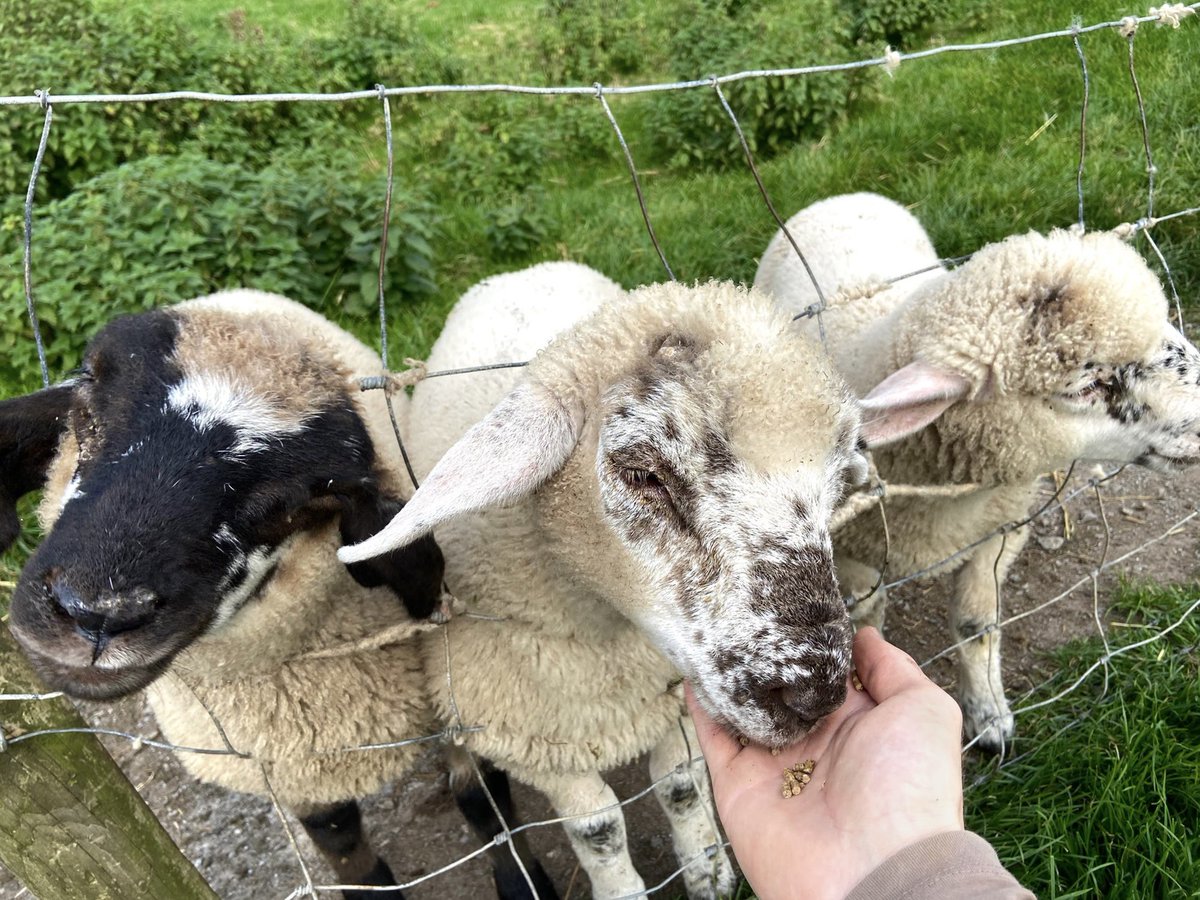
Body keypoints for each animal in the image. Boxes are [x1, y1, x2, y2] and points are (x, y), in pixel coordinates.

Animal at [0, 289, 548, 900]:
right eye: (85, 407)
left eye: (289, 500)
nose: (96, 614)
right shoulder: (289, 762)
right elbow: (344, 847)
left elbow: (484, 798)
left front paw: (525, 882)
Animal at [337, 262, 905, 900]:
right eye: (641, 473)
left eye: (836, 484)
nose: (816, 696)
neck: (604, 636)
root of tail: (531, 267)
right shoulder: (538, 741)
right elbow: (599, 829)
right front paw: (622, 888)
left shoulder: (669, 698)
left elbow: (680, 785)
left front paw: (706, 867)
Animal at [754, 192, 1200, 754]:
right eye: (1084, 387)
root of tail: (838, 197)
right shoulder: (853, 554)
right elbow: (868, 616)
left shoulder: (1001, 528)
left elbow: (976, 623)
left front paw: (989, 716)